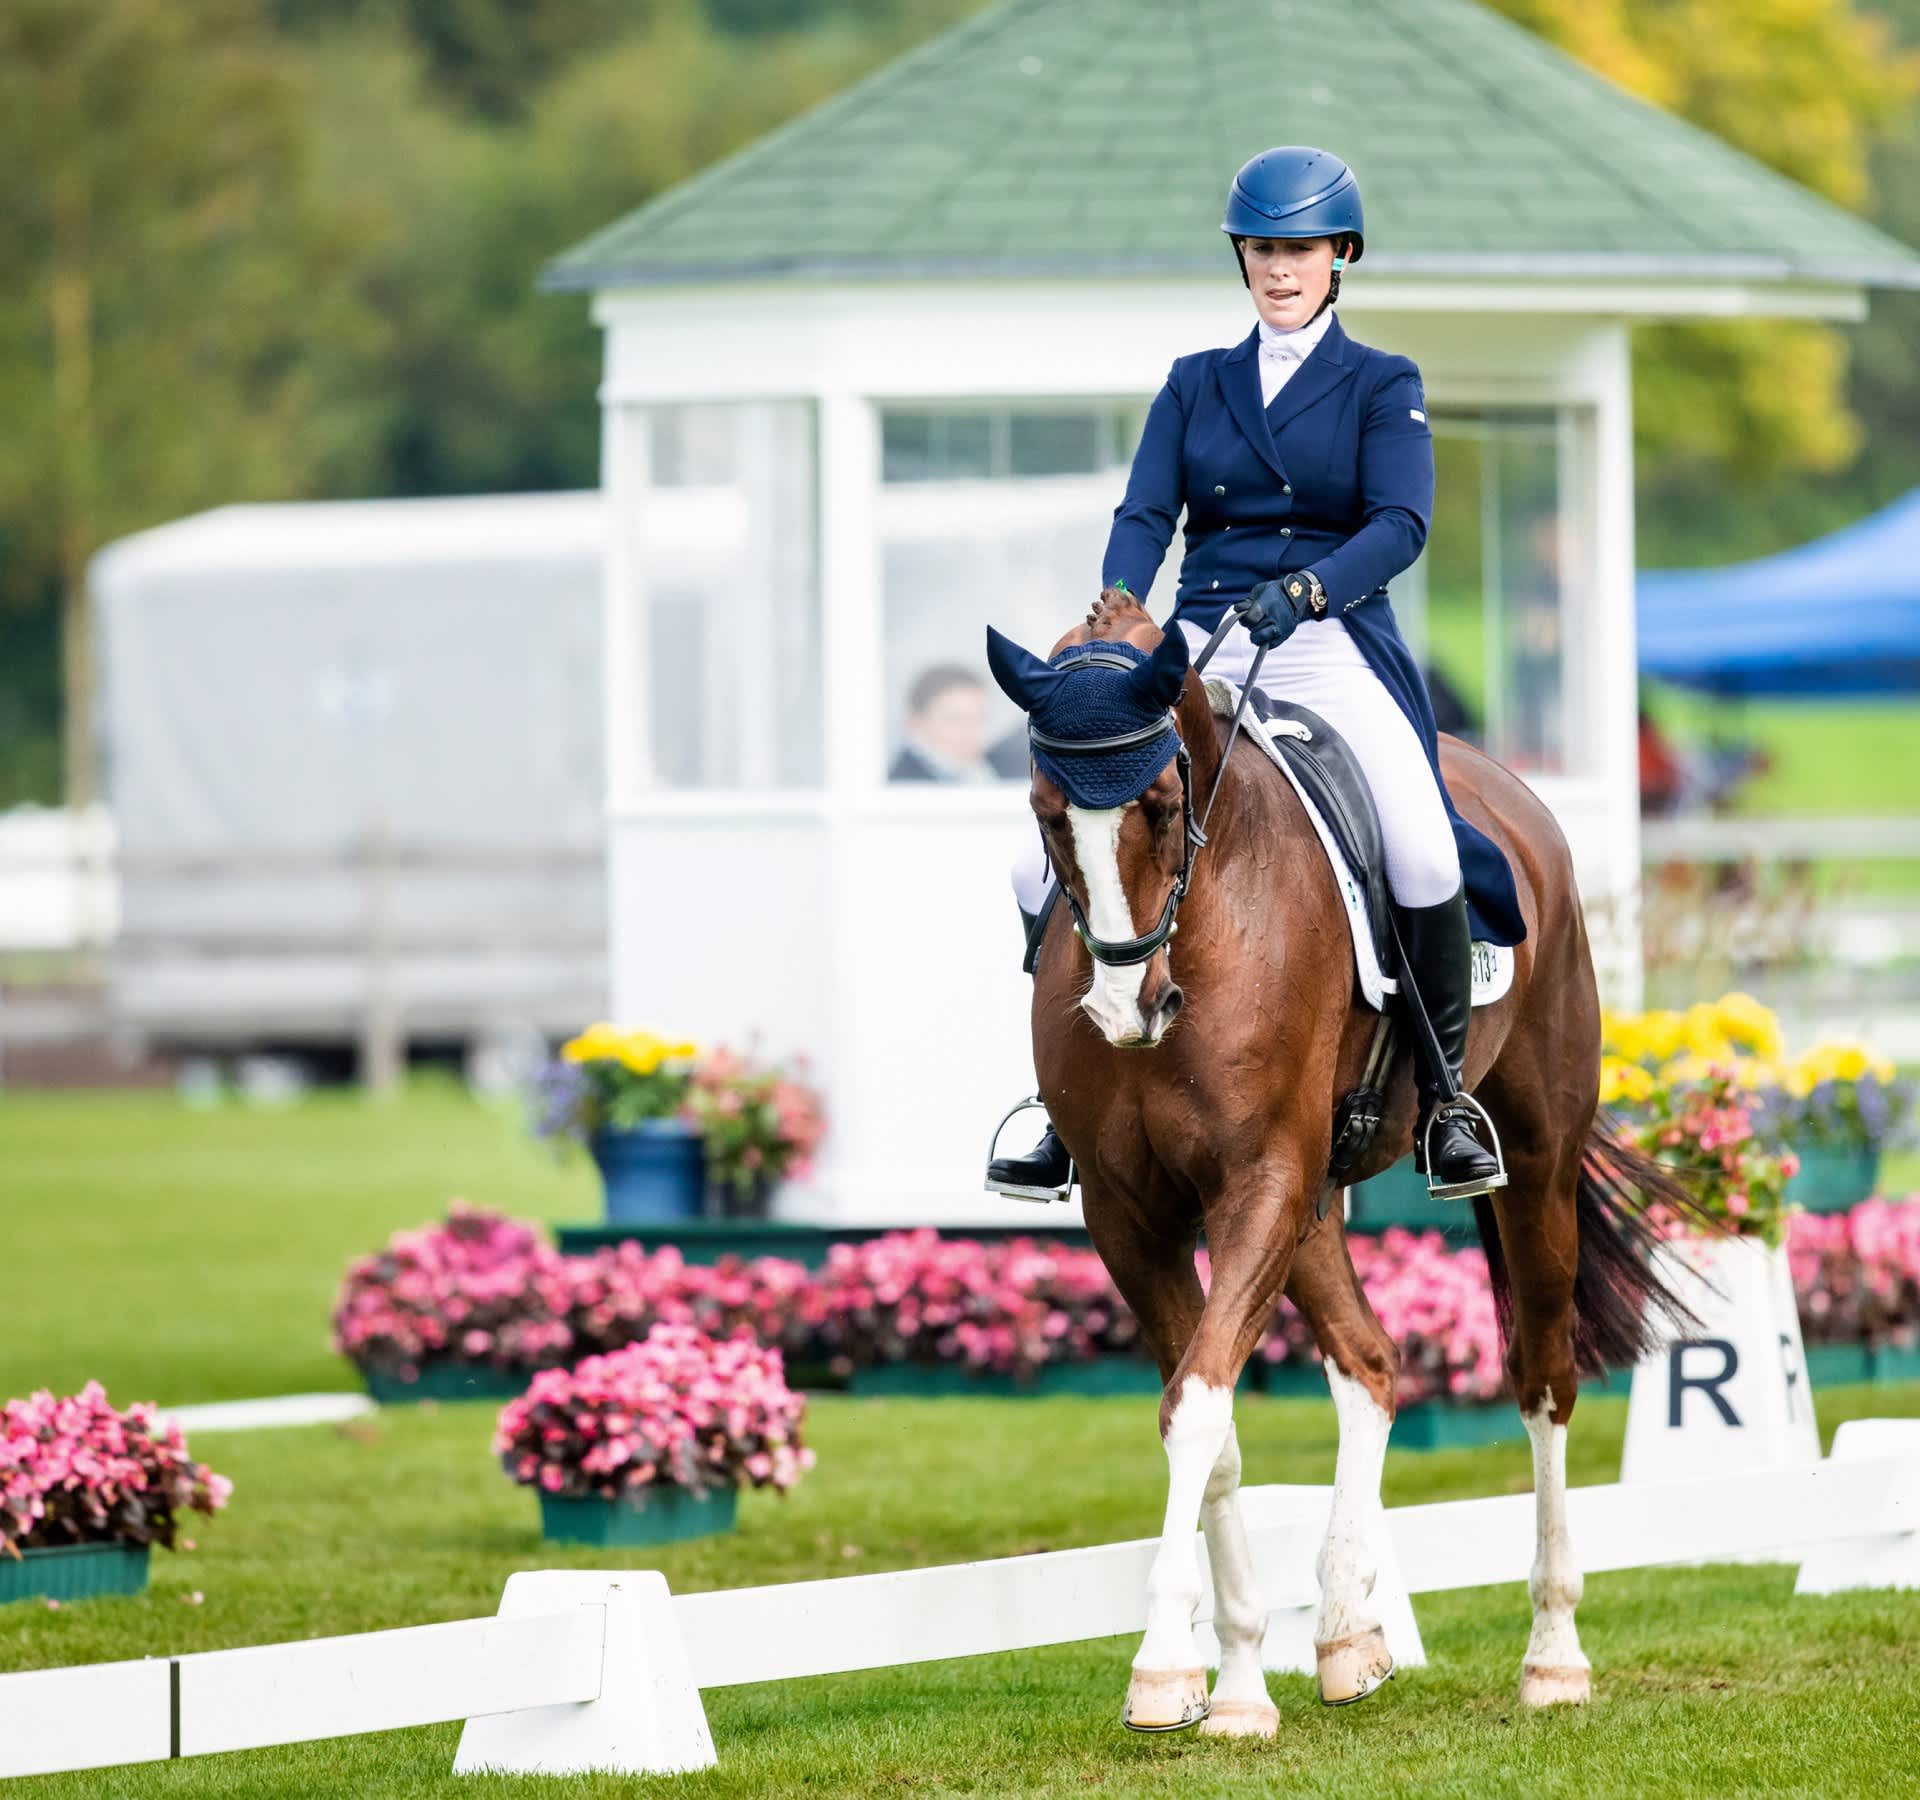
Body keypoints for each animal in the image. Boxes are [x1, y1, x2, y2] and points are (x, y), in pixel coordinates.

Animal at [992, 589, 1693, 1737]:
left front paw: (1162, 1667)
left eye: (1158, 806)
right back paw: (1342, 1635)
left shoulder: (1259, 1182)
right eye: (1049, 813)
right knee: (1369, 1360)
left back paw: (1551, 1654)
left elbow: (1196, 1404)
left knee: (1542, 1378)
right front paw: (1229, 1679)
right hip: (1316, 1201)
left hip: (1530, 1158)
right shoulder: (1133, 1212)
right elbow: (1210, 1414)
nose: (1125, 1011)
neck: (1208, 912)